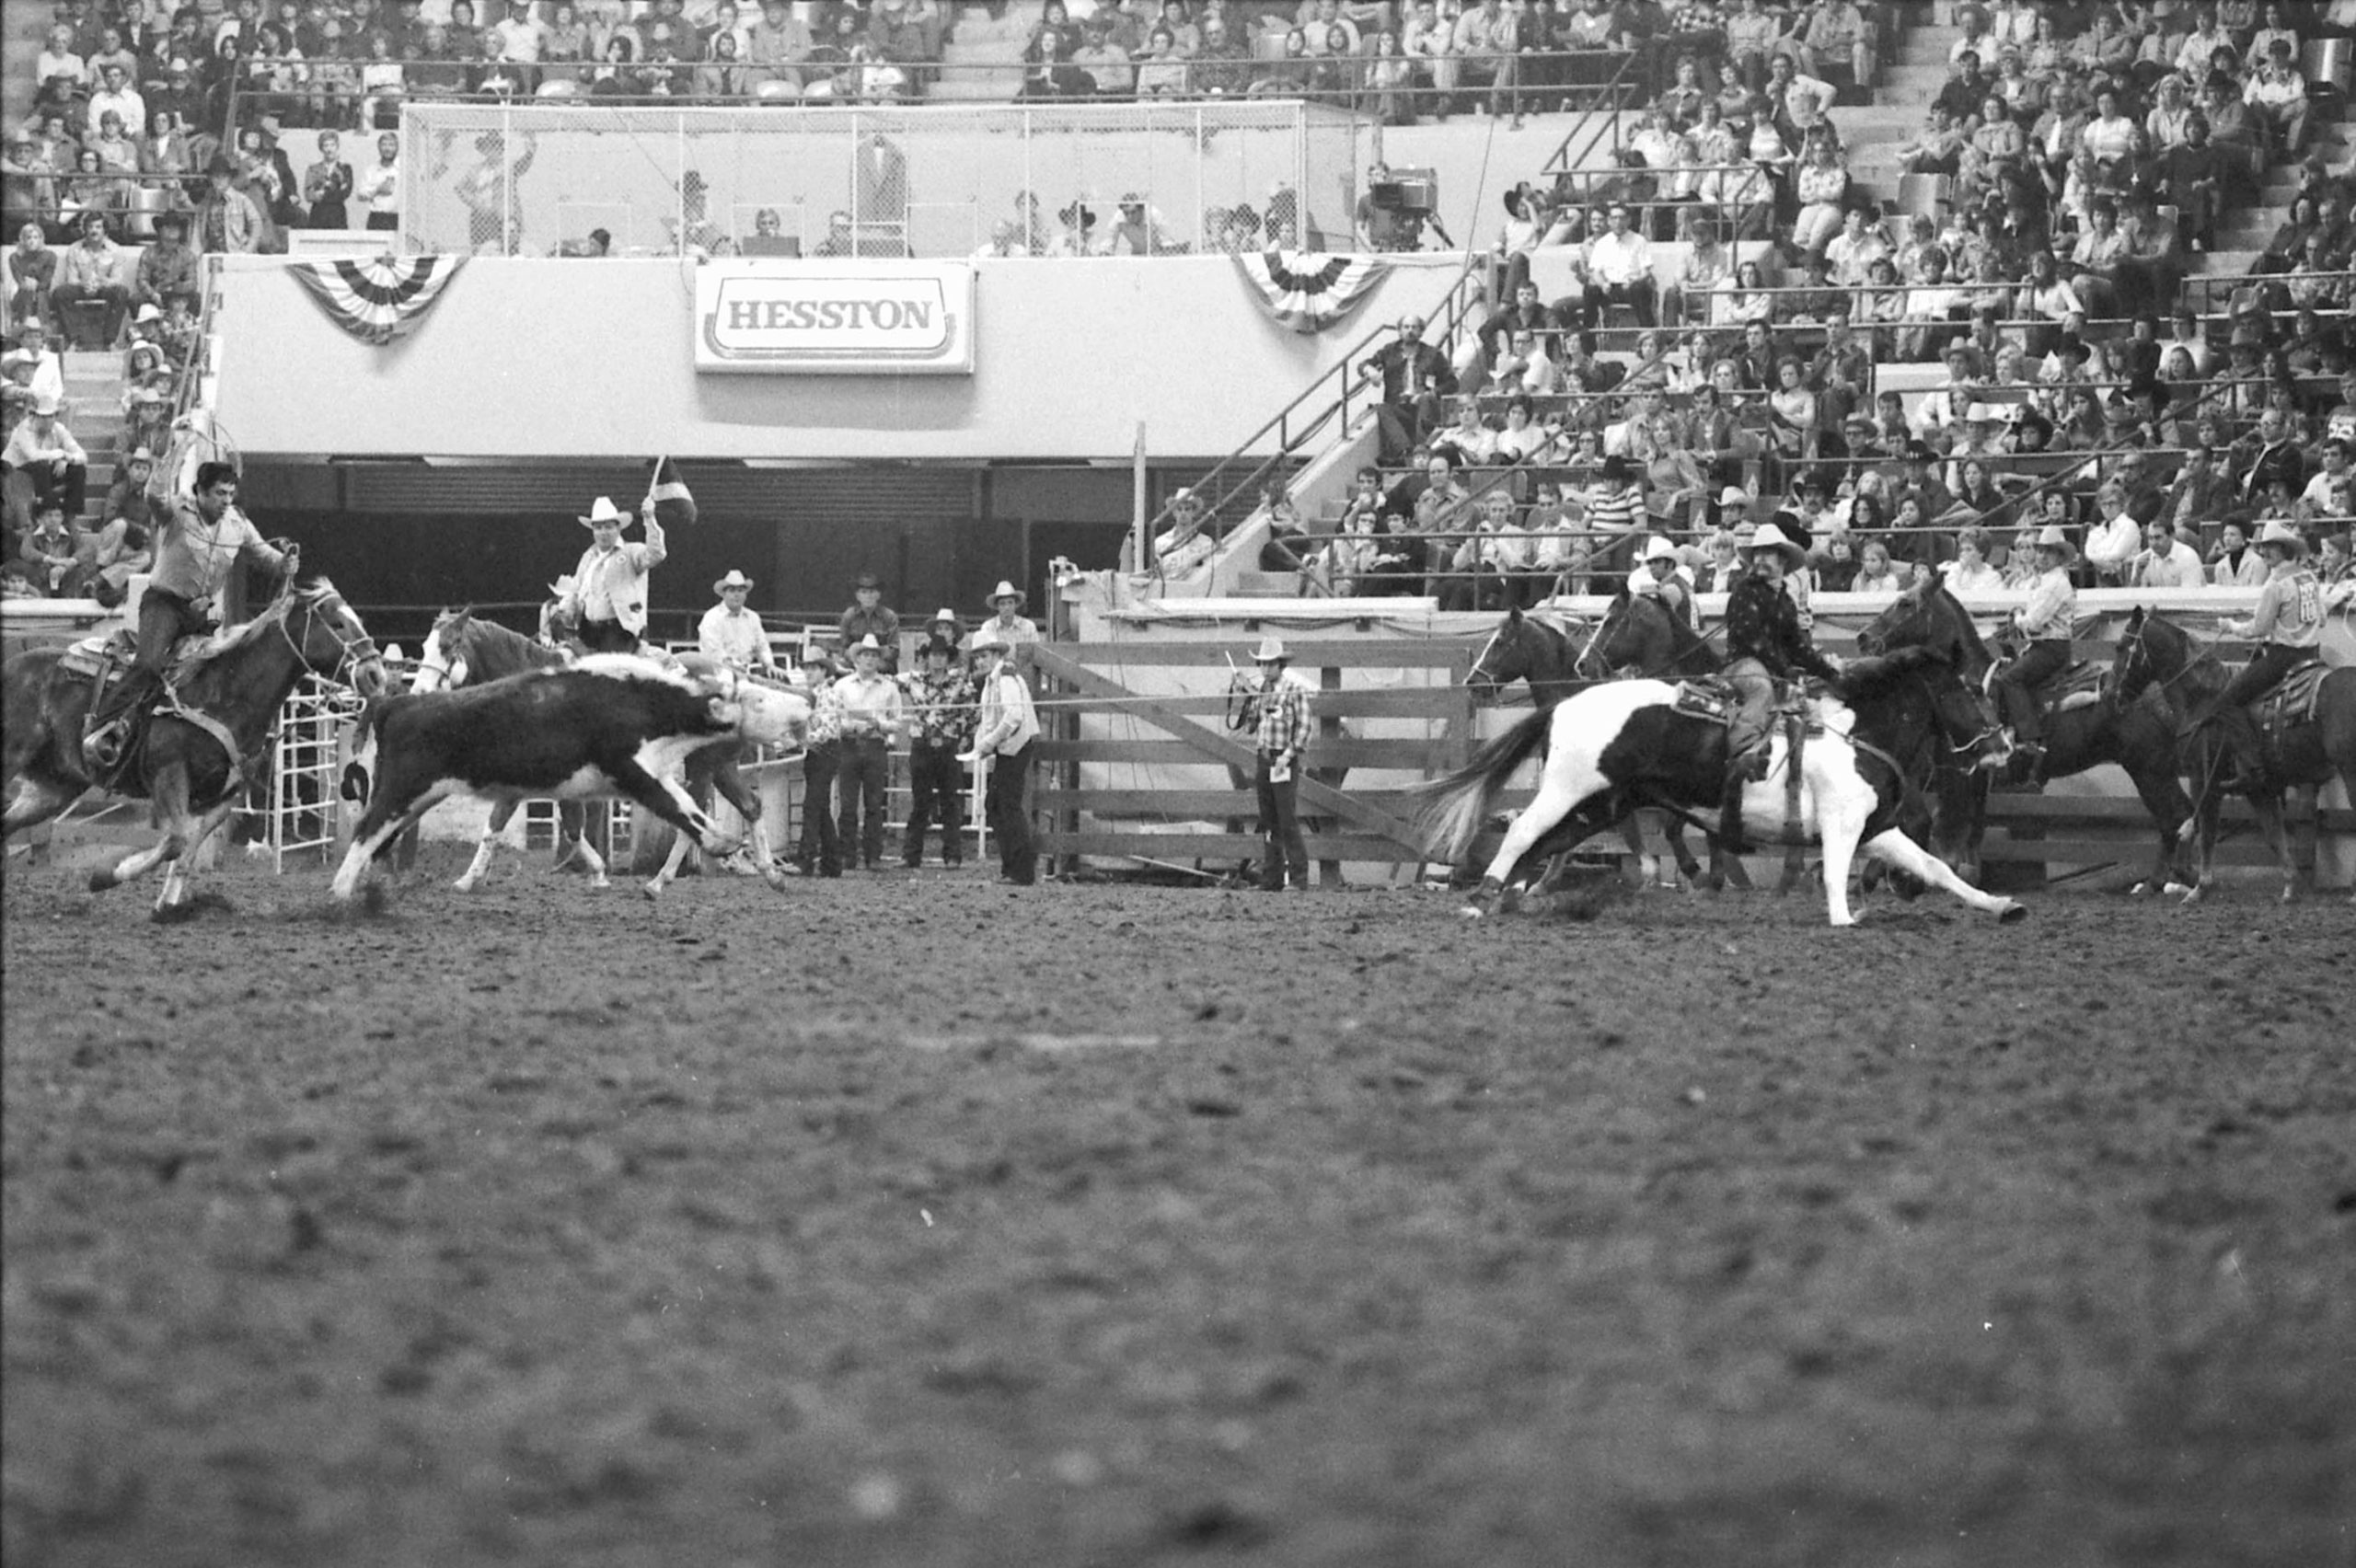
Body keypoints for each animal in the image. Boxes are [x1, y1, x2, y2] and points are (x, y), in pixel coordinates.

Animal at [2, 579, 386, 908]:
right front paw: (104, 877)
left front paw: (166, 907)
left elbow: (186, 850)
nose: (376, 674)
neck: (225, 693)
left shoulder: (224, 795)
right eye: (337, 623)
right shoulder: (169, 774)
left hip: (55, 787)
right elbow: (175, 841)